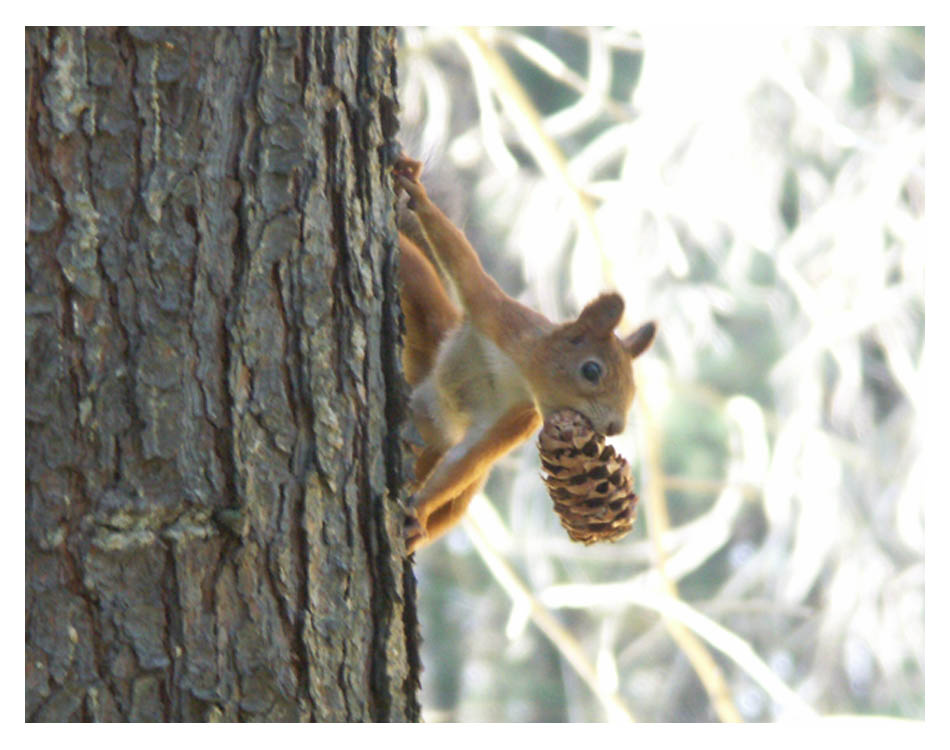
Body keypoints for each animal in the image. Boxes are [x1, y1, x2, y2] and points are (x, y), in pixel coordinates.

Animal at [393, 155, 656, 553]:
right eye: (591, 371)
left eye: (634, 389)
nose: (616, 427)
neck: (518, 372)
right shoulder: (497, 314)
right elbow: (461, 260)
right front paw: (419, 196)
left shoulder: (515, 418)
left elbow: (468, 461)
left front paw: (418, 516)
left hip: (445, 458)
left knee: (453, 499)